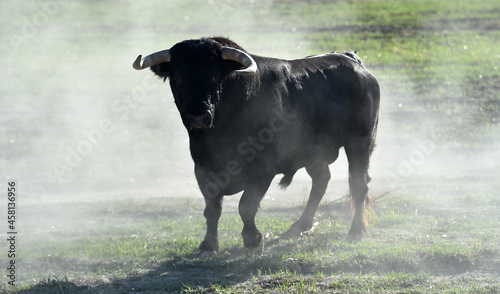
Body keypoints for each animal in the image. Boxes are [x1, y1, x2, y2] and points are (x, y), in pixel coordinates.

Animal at [132, 36, 378, 253]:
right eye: (178, 78)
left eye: (214, 78)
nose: (198, 117)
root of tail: (353, 62)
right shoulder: (202, 170)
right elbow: (212, 209)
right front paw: (208, 245)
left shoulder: (262, 170)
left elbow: (246, 206)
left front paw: (252, 240)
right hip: (312, 152)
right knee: (321, 180)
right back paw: (299, 226)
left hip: (360, 142)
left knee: (358, 184)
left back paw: (356, 231)